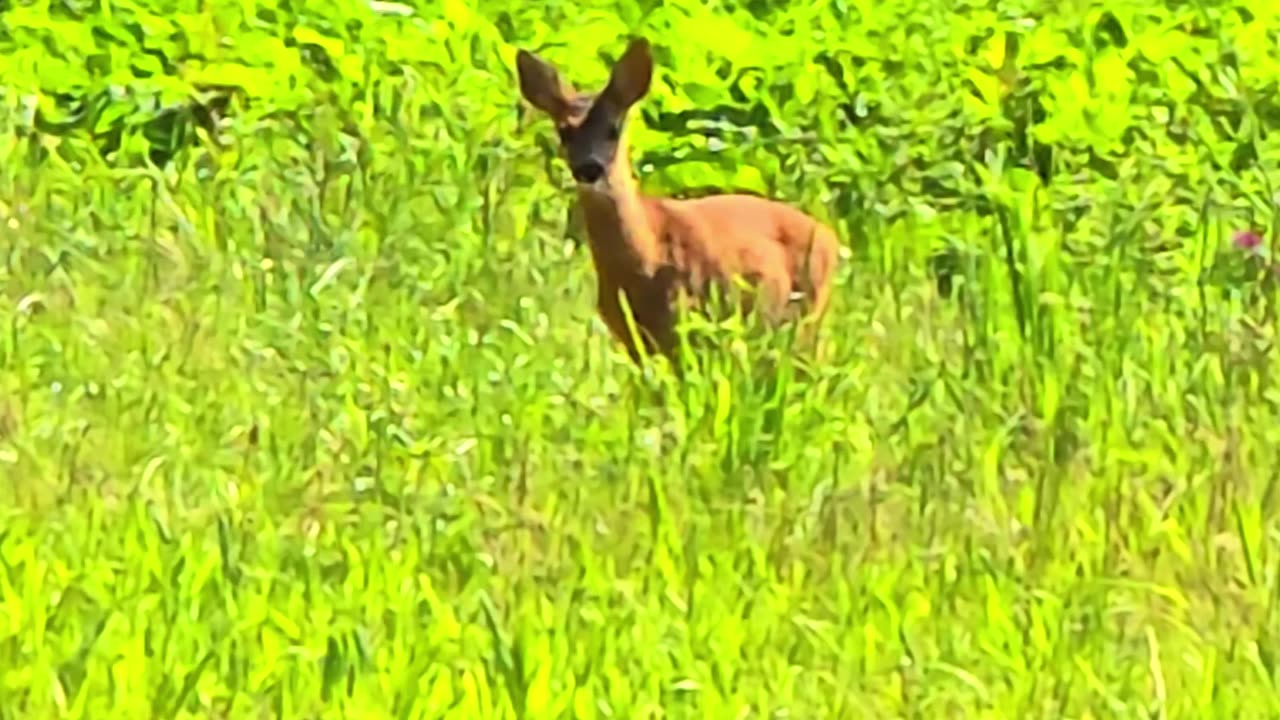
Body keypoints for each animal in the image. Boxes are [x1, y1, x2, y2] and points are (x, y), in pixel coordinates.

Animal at [514, 36, 844, 366]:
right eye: (565, 131)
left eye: (613, 129)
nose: (588, 168)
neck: (645, 258)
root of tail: (831, 239)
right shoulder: (632, 338)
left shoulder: (685, 320)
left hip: (807, 317)